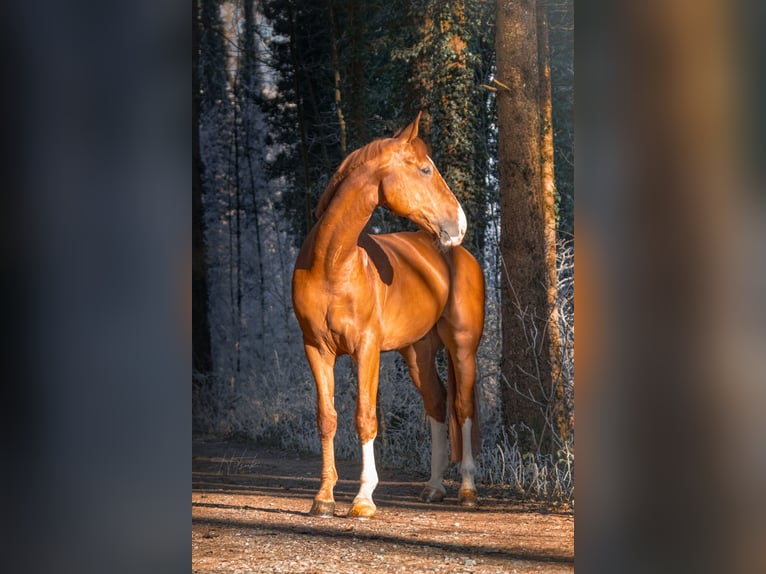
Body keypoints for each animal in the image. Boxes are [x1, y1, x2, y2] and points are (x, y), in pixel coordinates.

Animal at [294, 113, 486, 520]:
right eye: (426, 169)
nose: (459, 224)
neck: (332, 265)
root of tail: (459, 254)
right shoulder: (316, 349)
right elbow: (327, 418)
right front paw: (323, 497)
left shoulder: (366, 349)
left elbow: (365, 417)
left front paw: (364, 498)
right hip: (418, 353)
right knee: (437, 403)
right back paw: (433, 487)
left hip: (462, 348)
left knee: (462, 408)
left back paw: (467, 489)